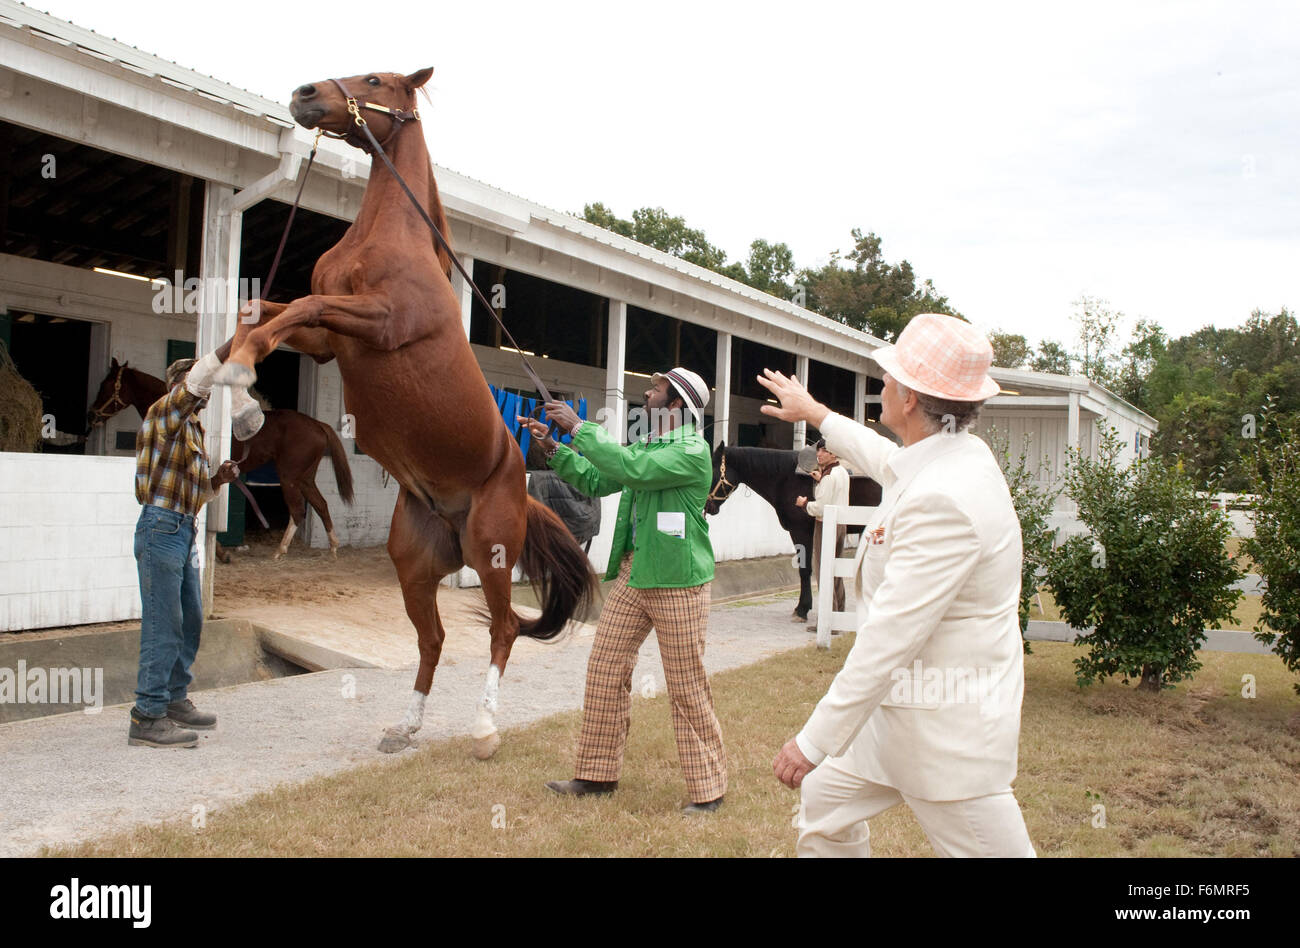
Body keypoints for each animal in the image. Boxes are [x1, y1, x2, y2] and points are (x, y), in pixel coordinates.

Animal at [86, 358, 356, 559]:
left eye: (105, 385)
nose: (92, 414)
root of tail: (318, 425)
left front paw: (219, 552)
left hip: (290, 477)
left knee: (299, 510)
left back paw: (280, 551)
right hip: (304, 477)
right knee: (320, 504)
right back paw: (332, 547)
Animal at [210, 66, 595, 759]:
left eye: (375, 78)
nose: (306, 95)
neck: (387, 236)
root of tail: (515, 490)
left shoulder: (377, 321)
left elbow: (295, 307)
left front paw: (244, 388)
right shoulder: (330, 341)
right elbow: (263, 312)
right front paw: (206, 374)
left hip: (493, 553)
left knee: (502, 630)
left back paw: (485, 730)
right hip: (415, 567)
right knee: (433, 638)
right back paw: (406, 726)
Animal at [702, 444, 883, 621]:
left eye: (711, 472)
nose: (707, 506)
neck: (786, 478)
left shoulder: (800, 531)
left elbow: (805, 570)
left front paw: (802, 609)